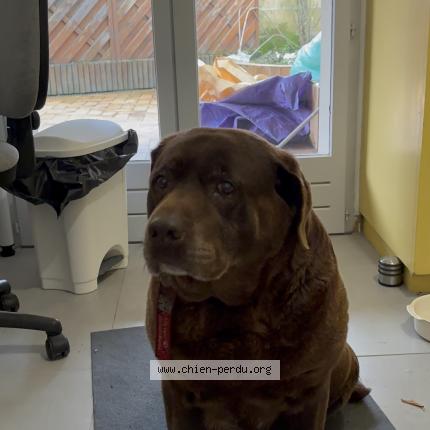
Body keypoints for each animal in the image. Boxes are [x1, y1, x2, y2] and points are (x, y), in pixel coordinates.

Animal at [144, 128, 369, 430]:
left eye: (226, 187)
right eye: (161, 181)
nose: (160, 230)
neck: (232, 310)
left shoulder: (310, 390)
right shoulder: (178, 389)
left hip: (348, 359)